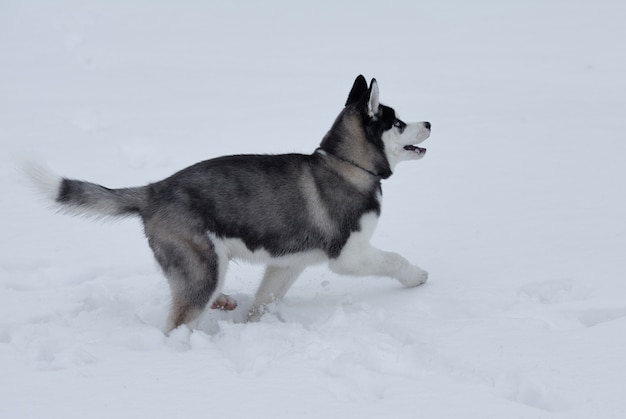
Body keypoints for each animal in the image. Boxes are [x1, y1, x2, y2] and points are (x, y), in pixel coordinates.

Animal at [29, 75, 428, 332]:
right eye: (397, 122)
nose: (429, 122)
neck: (349, 164)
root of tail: (154, 189)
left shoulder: (288, 263)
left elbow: (265, 299)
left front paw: (252, 327)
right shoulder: (349, 254)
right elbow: (395, 260)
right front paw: (418, 277)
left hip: (202, 266)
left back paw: (225, 304)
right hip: (203, 265)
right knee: (177, 323)